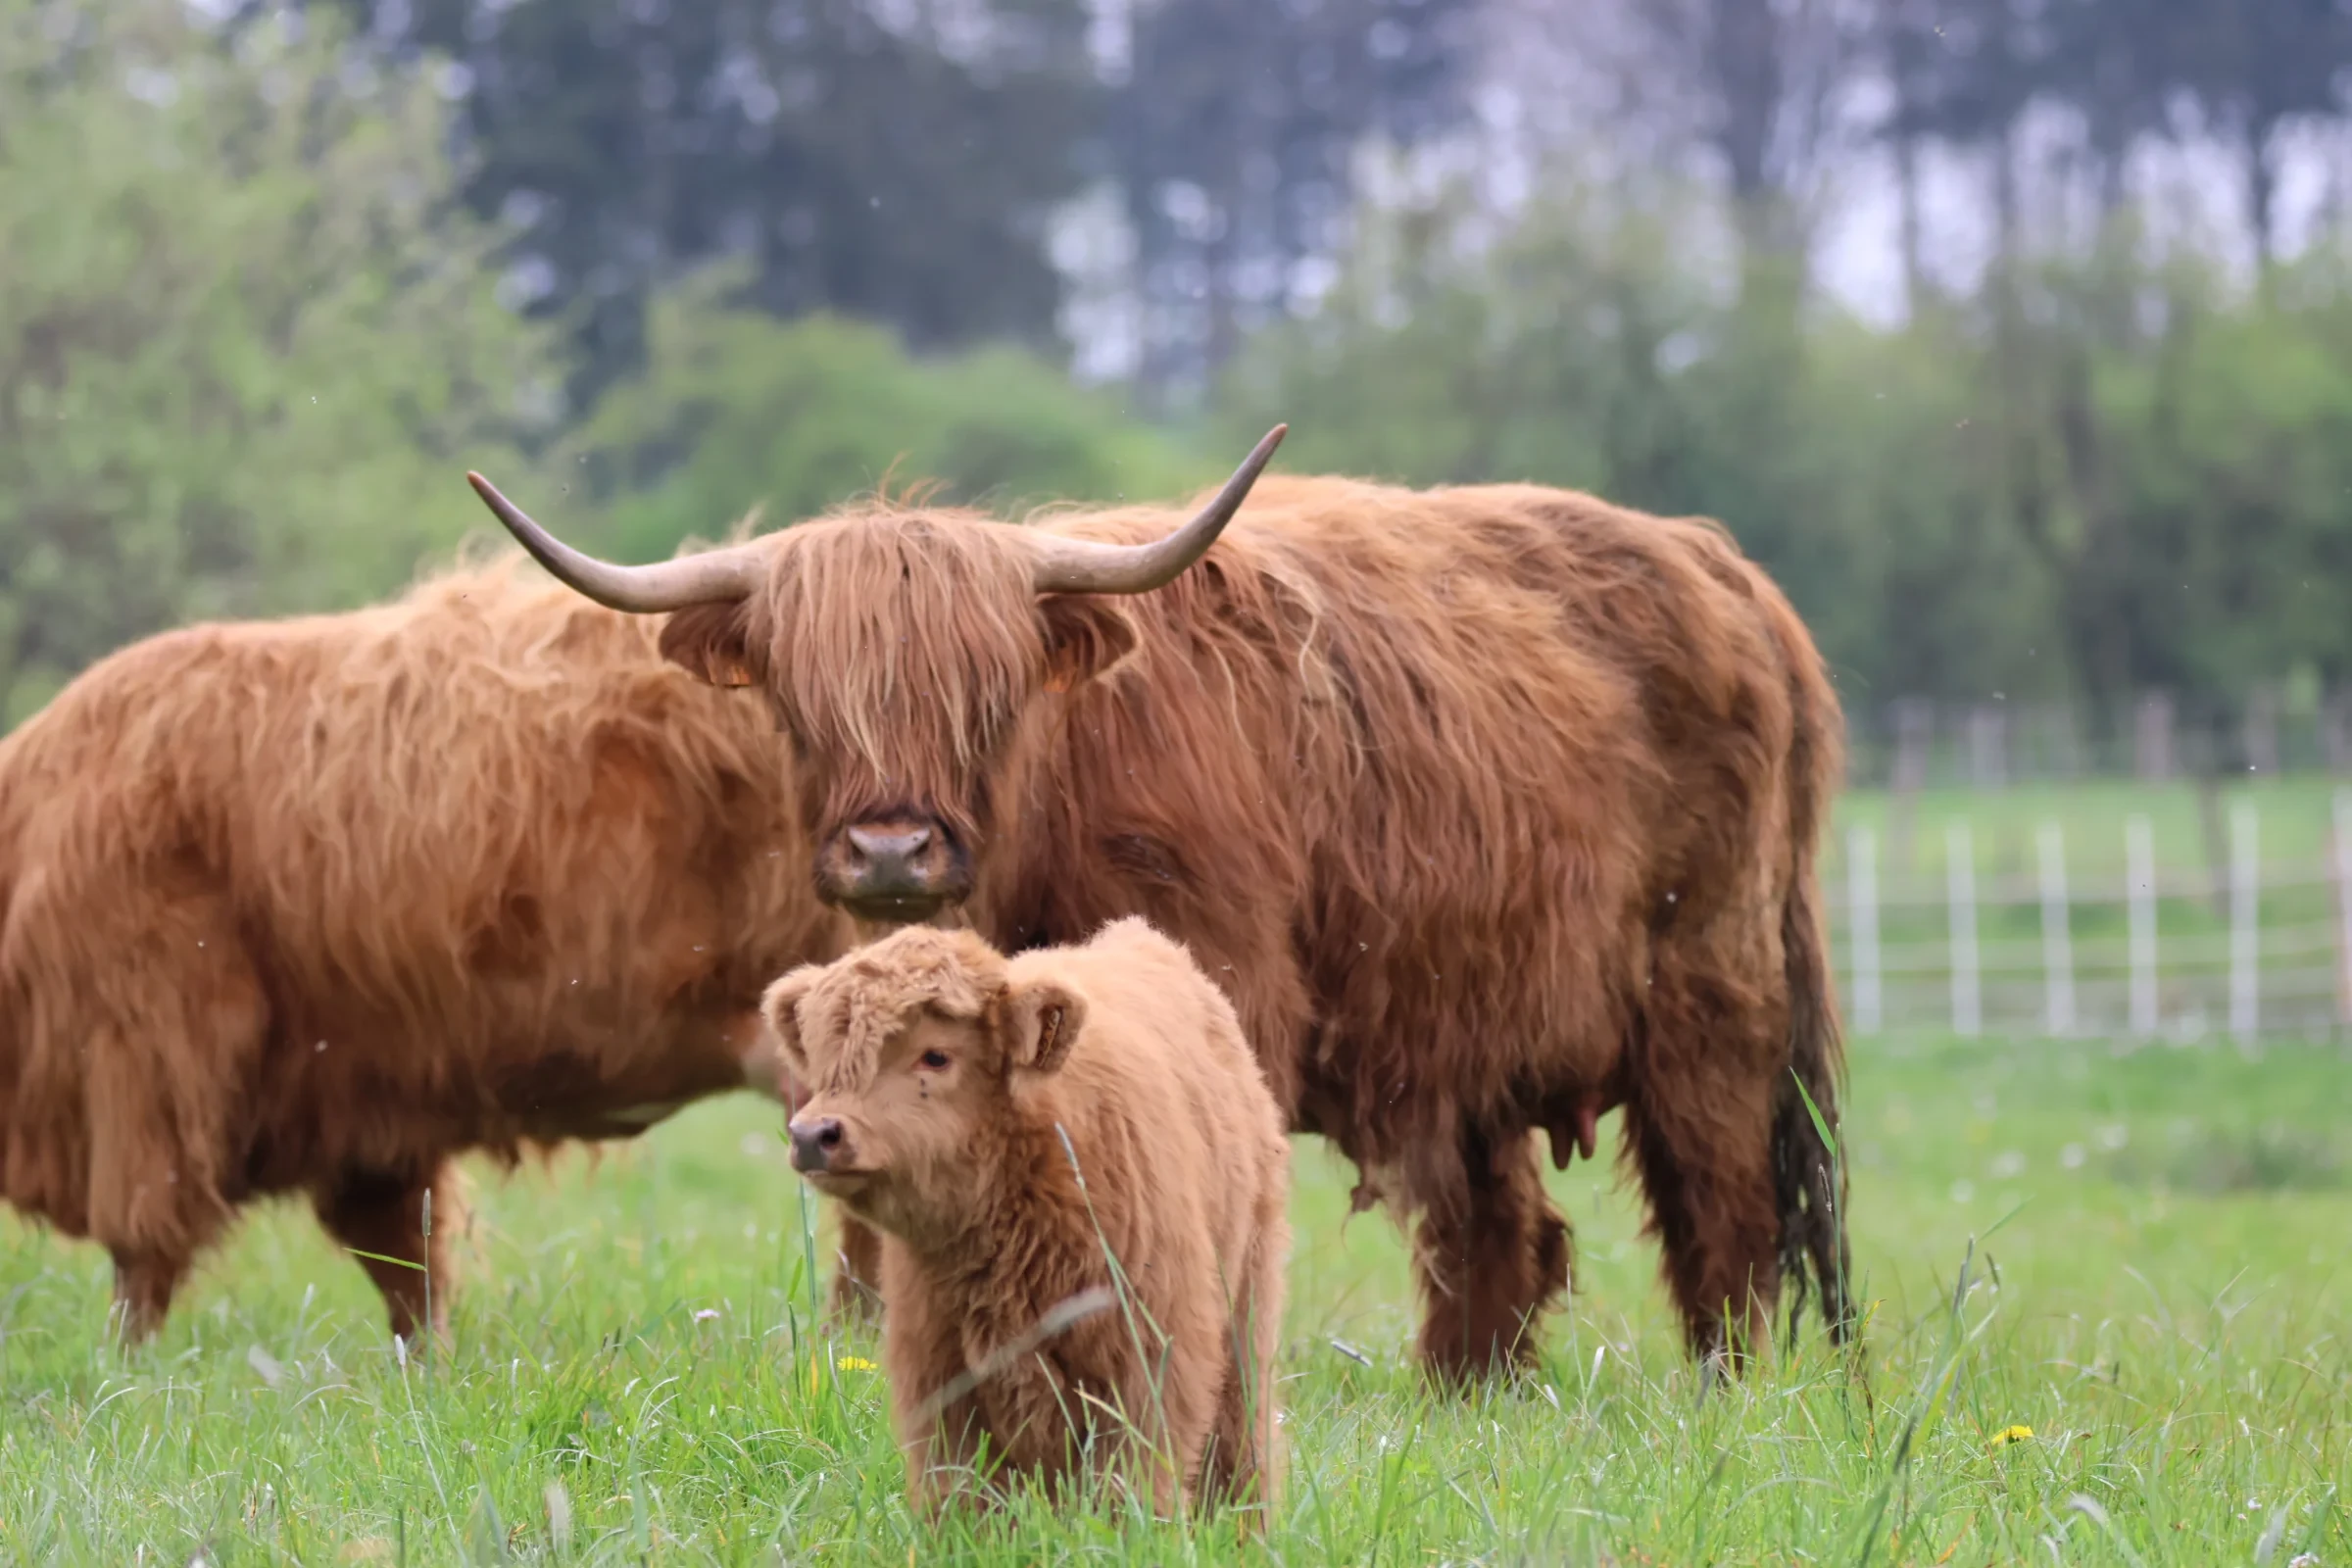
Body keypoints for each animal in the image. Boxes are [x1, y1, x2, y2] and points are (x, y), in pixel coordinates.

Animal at [467, 427, 1854, 1380]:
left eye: (987, 692)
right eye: (802, 700)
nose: (891, 848)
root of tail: (1724, 569)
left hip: (1713, 993)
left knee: (1725, 1212)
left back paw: (1730, 1395)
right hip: (1463, 1015)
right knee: (1501, 1229)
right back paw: (1470, 1396)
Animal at [765, 917, 1288, 1524]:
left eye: (936, 1056)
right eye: (826, 1059)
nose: (813, 1134)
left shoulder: (1150, 1354)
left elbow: (1127, 1482)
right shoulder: (937, 1367)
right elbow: (959, 1491)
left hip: (1246, 1309)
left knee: (1239, 1441)